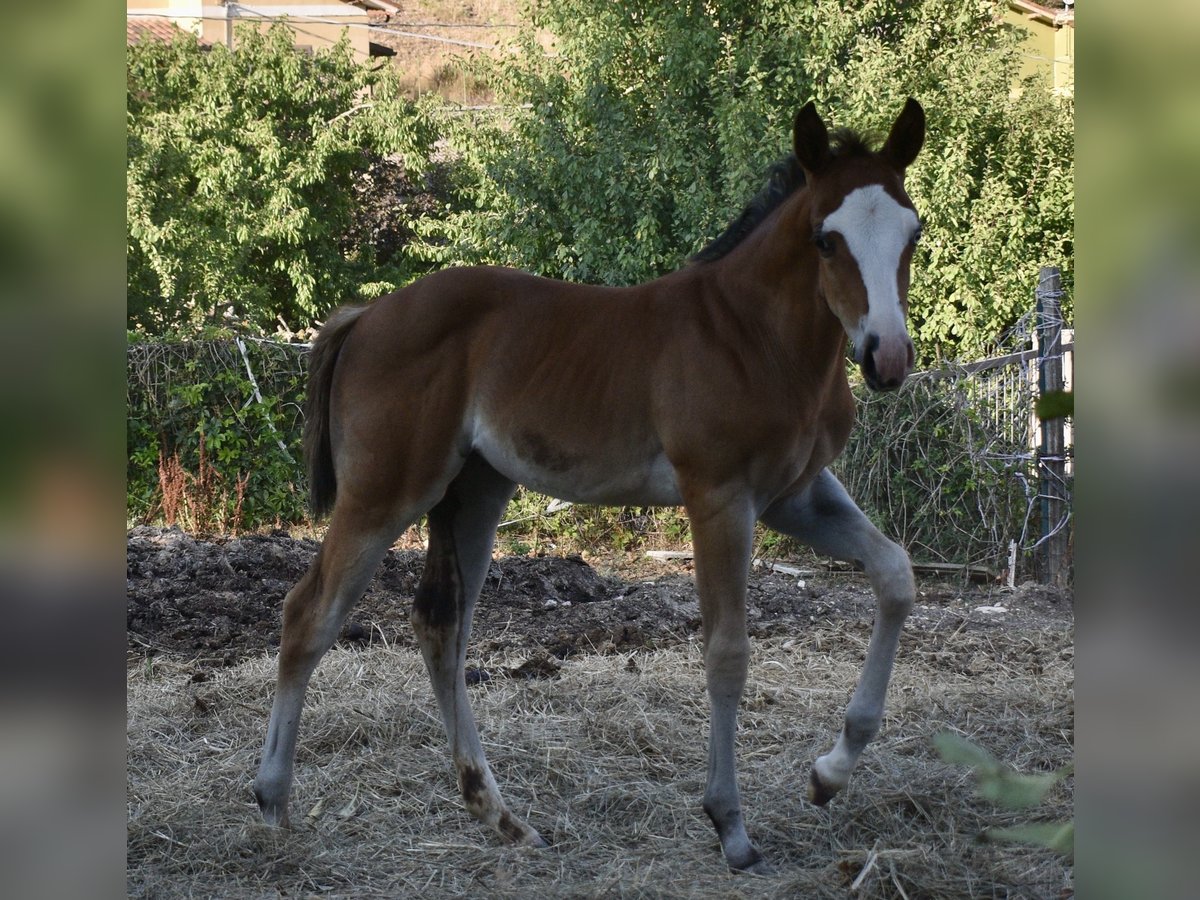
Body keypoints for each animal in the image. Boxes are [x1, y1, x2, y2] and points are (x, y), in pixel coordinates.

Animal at [253, 100, 926, 883]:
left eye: (912, 233)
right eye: (826, 239)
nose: (887, 357)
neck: (757, 337)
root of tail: (366, 315)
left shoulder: (797, 494)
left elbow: (896, 575)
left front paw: (828, 774)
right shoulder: (720, 497)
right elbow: (727, 653)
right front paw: (730, 825)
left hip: (475, 493)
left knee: (441, 628)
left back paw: (502, 817)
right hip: (385, 492)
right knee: (310, 615)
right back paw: (272, 804)